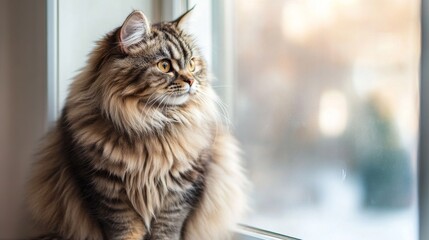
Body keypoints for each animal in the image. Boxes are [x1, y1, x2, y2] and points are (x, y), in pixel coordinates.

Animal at [27, 8, 247, 239]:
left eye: (192, 64)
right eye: (164, 65)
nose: (191, 81)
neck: (152, 123)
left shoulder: (179, 193)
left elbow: (166, 231)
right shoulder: (107, 193)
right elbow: (125, 231)